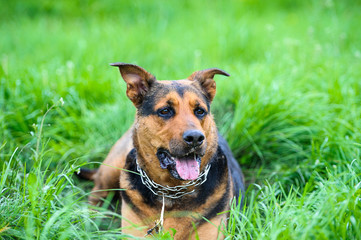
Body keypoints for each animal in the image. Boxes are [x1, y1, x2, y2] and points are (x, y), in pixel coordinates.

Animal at [77, 62, 243, 240]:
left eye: (200, 111)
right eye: (165, 111)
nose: (196, 138)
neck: (171, 191)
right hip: (112, 168)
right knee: (96, 192)